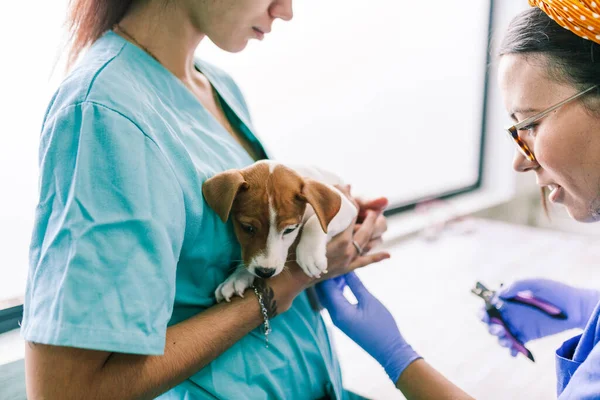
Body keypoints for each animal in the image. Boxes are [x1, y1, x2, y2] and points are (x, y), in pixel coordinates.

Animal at [204, 161, 358, 302]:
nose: (265, 272)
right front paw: (237, 277)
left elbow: (314, 221)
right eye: (247, 228)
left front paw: (309, 255)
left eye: (289, 230)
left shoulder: (347, 206)